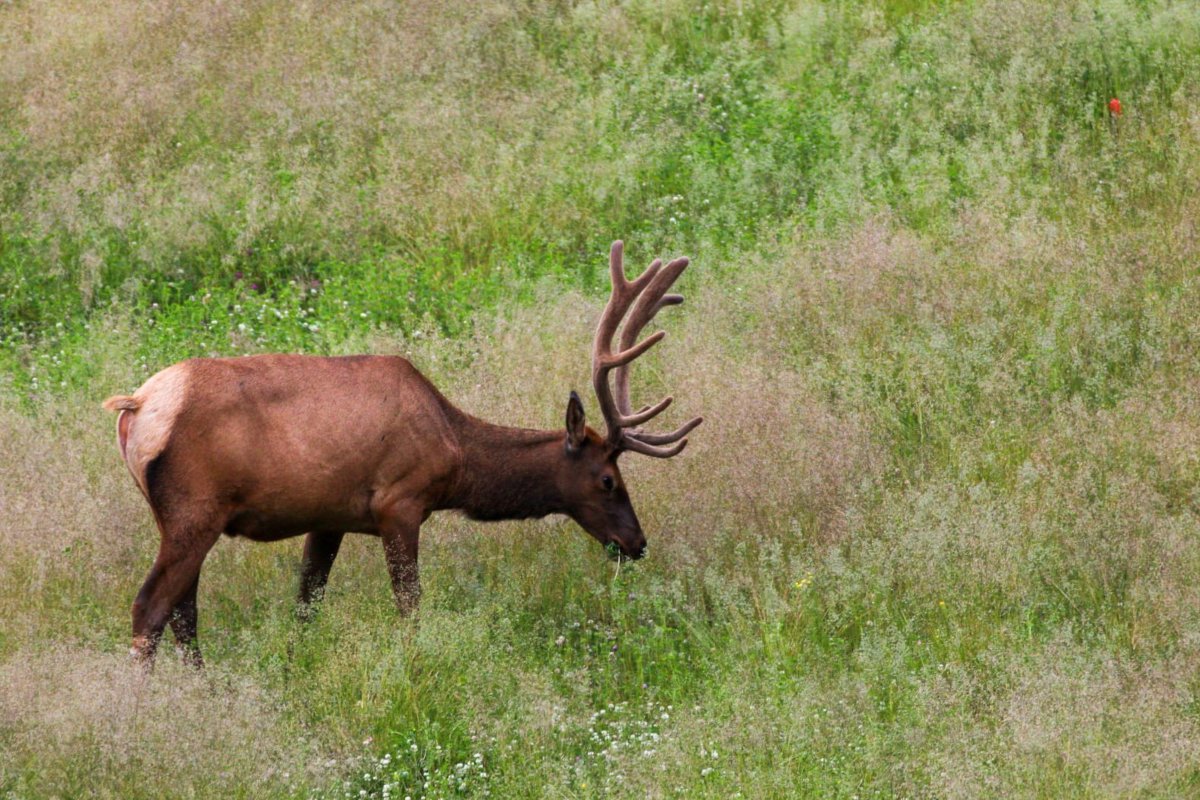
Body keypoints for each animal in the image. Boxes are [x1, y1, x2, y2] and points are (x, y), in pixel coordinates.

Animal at [102, 241, 701, 666]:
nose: (637, 542)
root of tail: (135, 408)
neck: (456, 455)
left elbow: (307, 604)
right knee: (149, 609)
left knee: (184, 614)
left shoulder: (329, 516)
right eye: (607, 479)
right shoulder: (401, 502)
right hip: (194, 510)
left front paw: (297, 667)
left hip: (178, 516)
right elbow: (410, 607)